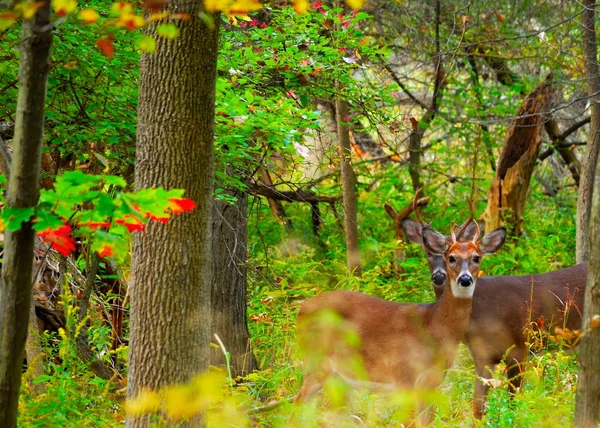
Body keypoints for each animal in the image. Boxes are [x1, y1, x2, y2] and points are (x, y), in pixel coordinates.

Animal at [296, 217, 506, 422]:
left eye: (476, 257)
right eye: (451, 257)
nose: (465, 279)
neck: (432, 325)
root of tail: (302, 308)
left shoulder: (431, 383)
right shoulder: (403, 376)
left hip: (339, 378)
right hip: (317, 364)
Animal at [398, 196, 584, 418]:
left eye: (476, 258)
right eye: (430, 253)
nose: (440, 276)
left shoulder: (520, 347)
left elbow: (513, 402)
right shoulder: (482, 355)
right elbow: (477, 407)